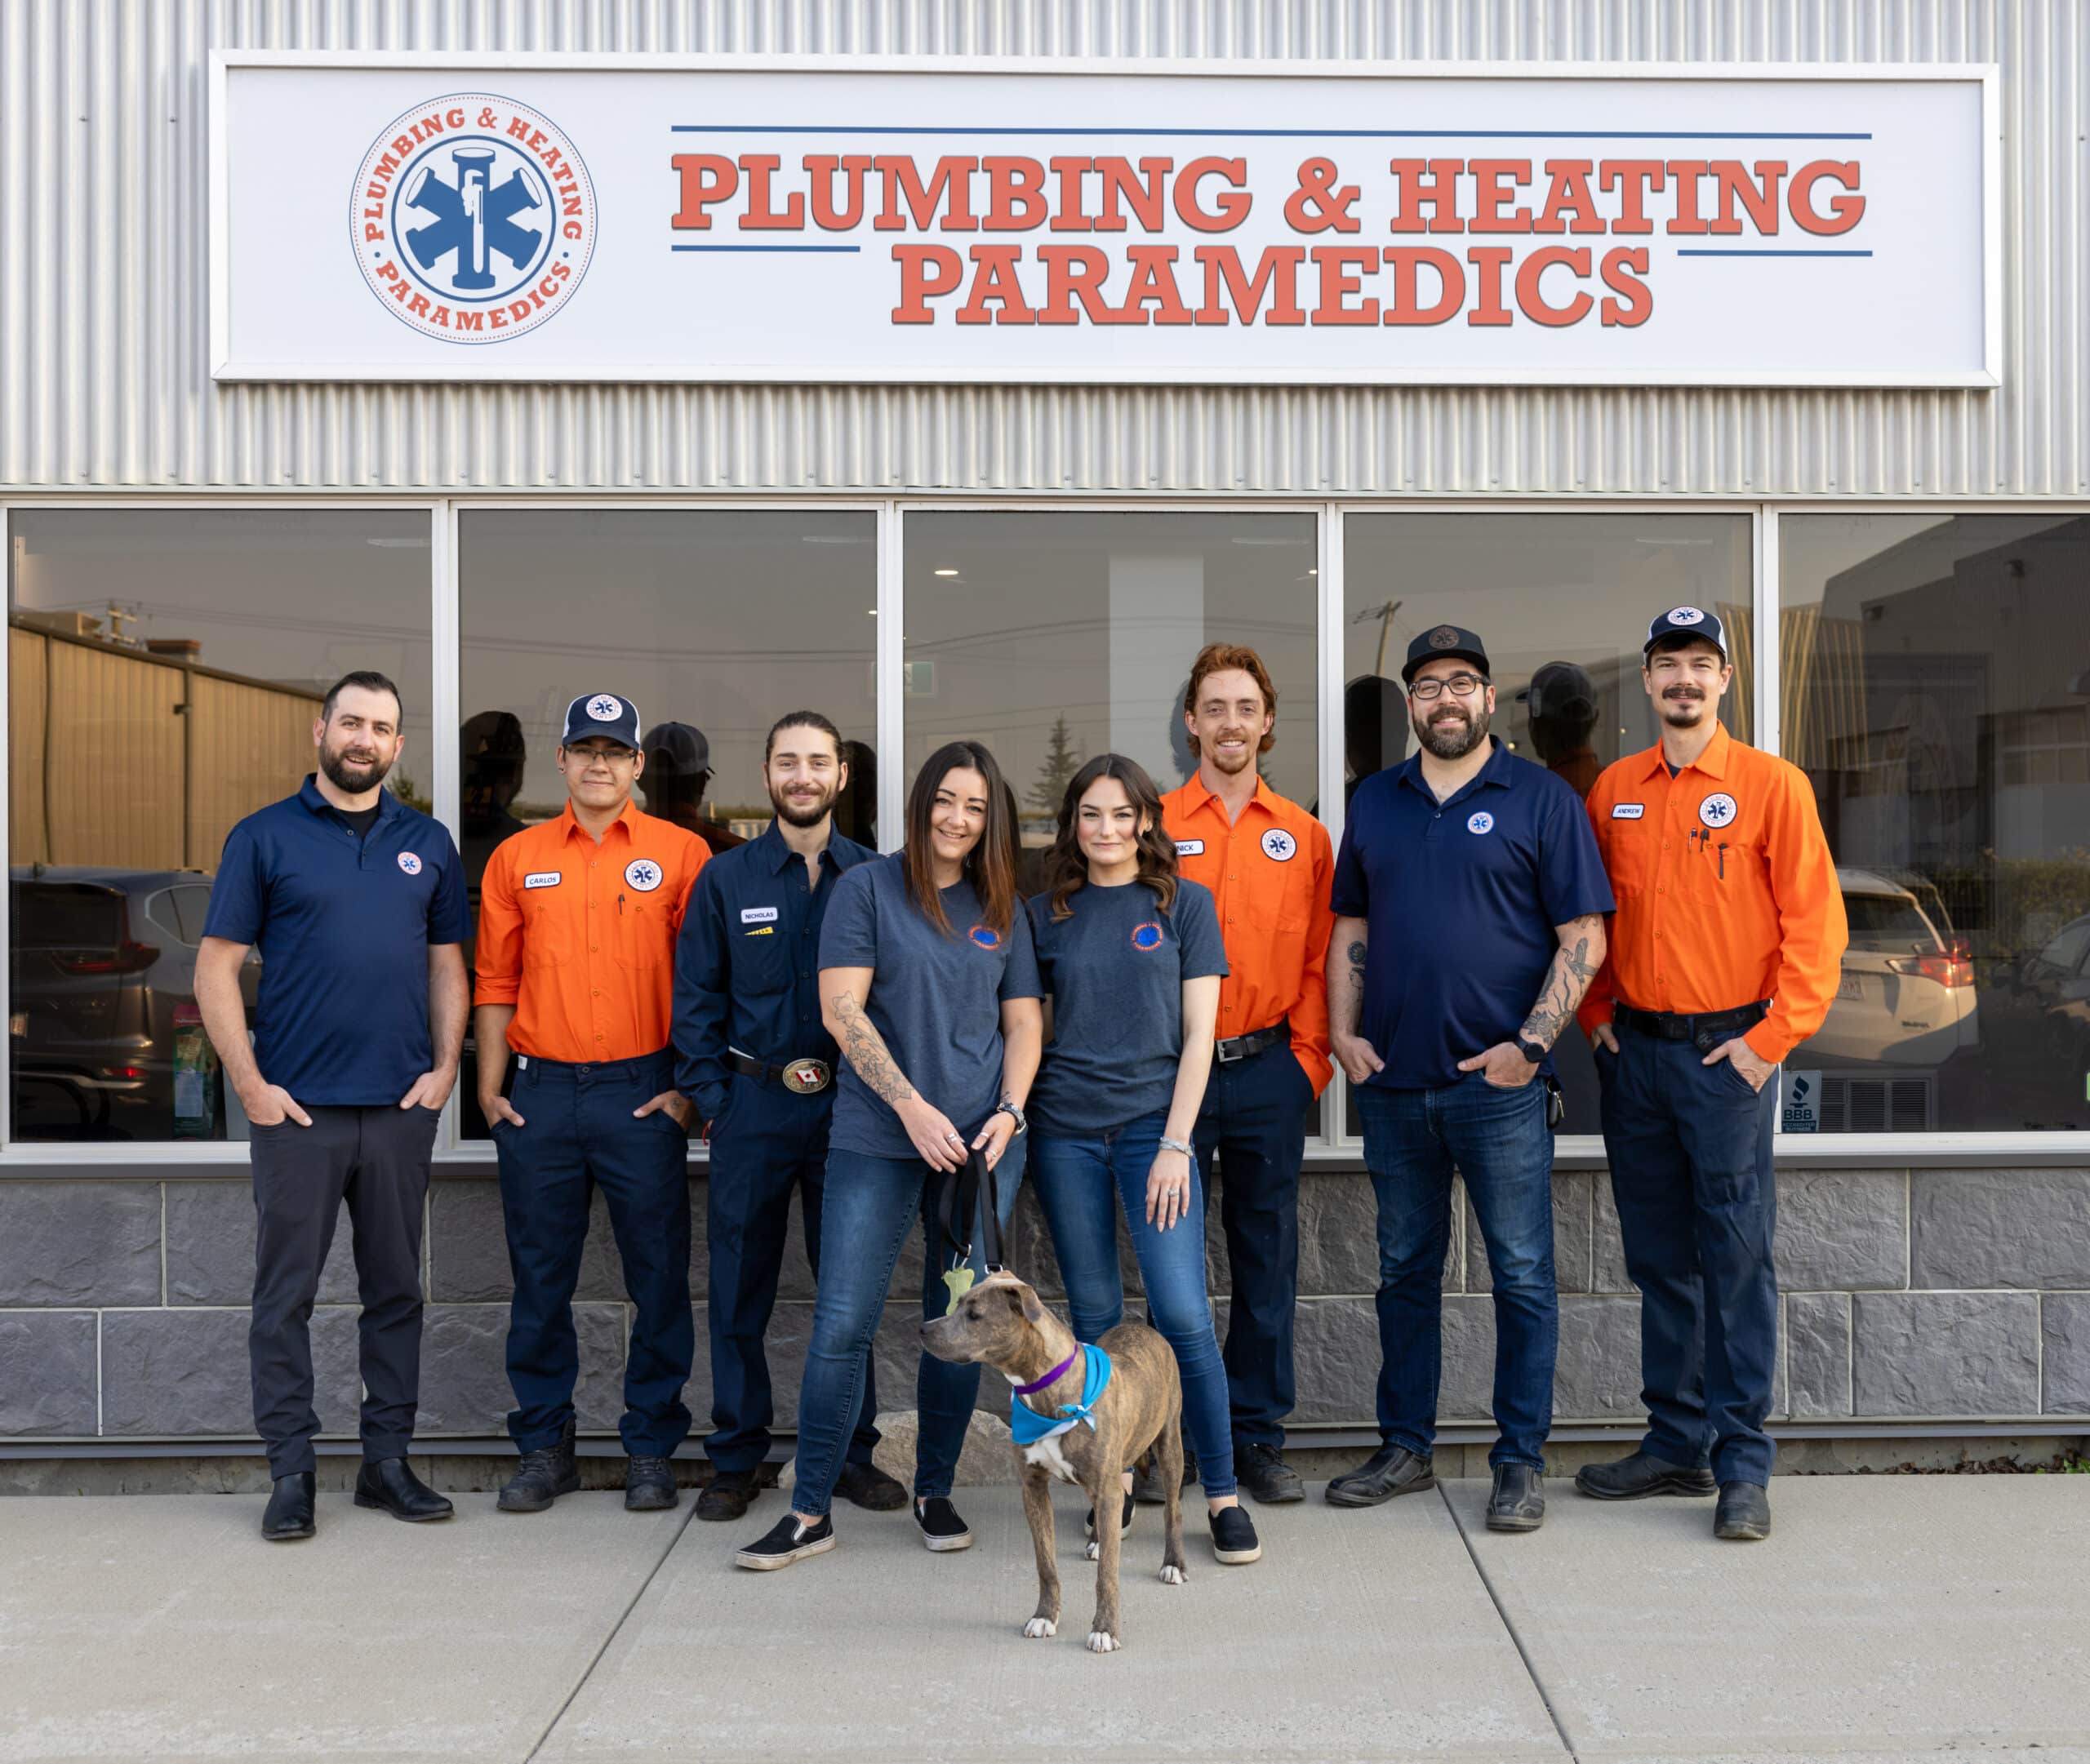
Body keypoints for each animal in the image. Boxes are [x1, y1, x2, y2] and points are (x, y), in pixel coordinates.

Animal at [923, 1270, 1187, 1655]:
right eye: (957, 1305)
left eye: (975, 1315)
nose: (922, 1329)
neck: (1048, 1394)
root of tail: (1145, 1328)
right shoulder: (1033, 1488)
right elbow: (1046, 1563)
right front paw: (1045, 1616)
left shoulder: (1106, 1487)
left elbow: (1107, 1576)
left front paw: (1105, 1629)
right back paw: (1099, 1542)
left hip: (1169, 1446)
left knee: (1172, 1511)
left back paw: (1173, 1564)